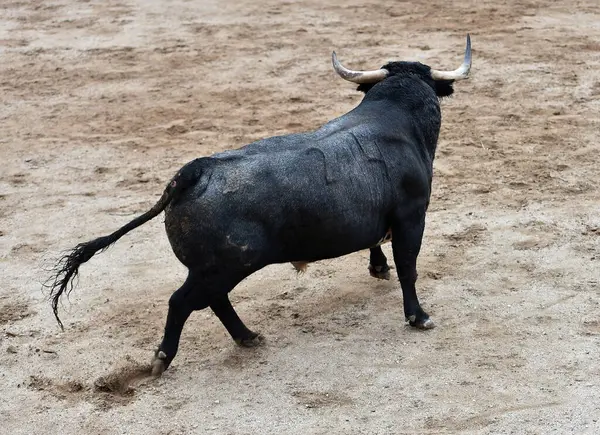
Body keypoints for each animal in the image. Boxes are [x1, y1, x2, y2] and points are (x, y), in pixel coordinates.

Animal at [47, 39, 472, 376]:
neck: (396, 117)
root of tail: (194, 171)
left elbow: (376, 243)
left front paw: (378, 268)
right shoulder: (412, 216)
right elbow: (409, 267)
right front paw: (418, 317)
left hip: (215, 269)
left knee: (213, 301)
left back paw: (247, 337)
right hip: (226, 266)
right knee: (184, 301)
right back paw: (164, 358)